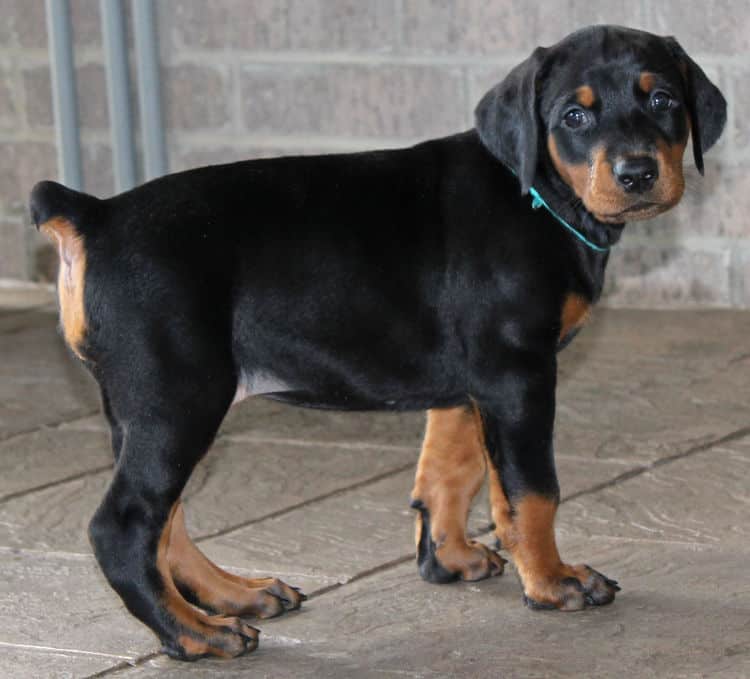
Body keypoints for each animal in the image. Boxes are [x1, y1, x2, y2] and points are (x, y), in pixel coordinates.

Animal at [30, 25, 728, 660]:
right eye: (574, 115)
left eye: (663, 99)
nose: (637, 173)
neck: (537, 192)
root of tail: (95, 214)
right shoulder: (517, 372)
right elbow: (531, 491)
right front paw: (553, 582)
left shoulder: (470, 383)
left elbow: (450, 471)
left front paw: (449, 559)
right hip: (178, 397)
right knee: (125, 527)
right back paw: (196, 635)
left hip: (144, 409)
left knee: (165, 520)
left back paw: (232, 596)